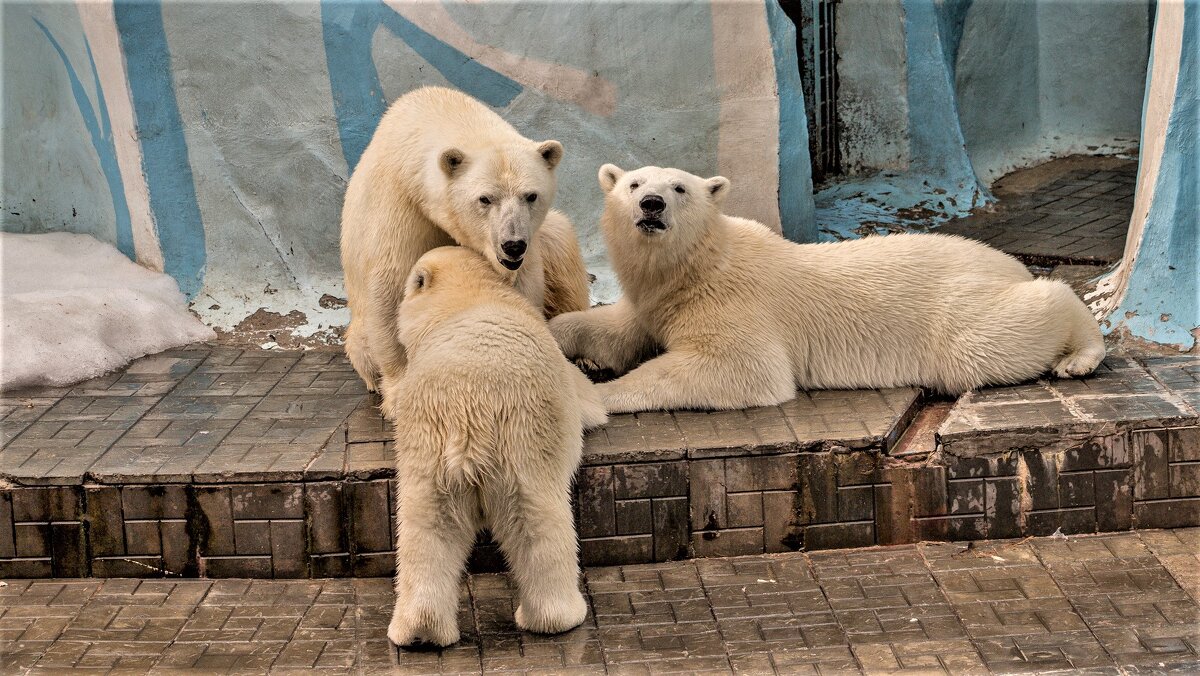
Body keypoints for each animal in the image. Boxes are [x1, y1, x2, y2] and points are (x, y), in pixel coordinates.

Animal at [343, 87, 590, 398]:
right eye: (485, 198)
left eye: (531, 195)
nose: (512, 245)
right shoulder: (401, 204)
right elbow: (391, 283)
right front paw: (399, 384)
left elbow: (523, 287)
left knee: (560, 239)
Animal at [386, 246, 609, 648]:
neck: (467, 296)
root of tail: (466, 422)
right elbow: (585, 398)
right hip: (522, 438)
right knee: (537, 520)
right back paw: (558, 615)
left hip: (427, 446)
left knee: (426, 527)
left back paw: (420, 630)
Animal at [549, 166, 1104, 415]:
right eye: (633, 183)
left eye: (679, 187)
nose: (651, 204)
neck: (696, 266)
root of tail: (1007, 263)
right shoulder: (657, 300)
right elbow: (617, 327)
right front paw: (562, 336)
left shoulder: (732, 301)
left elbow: (743, 369)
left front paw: (599, 393)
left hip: (959, 310)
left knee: (1001, 335)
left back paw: (1079, 355)